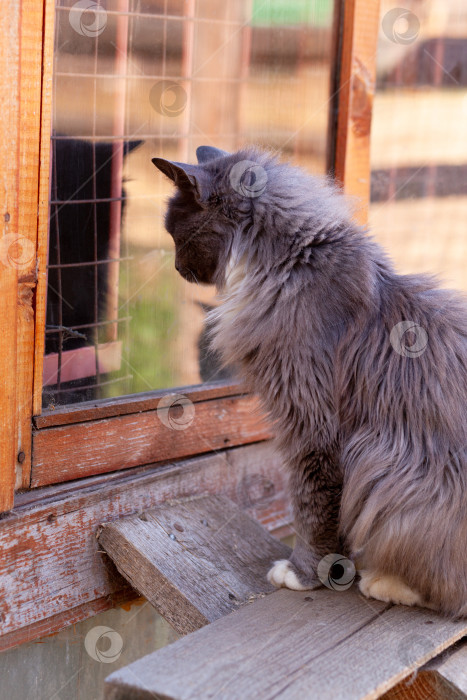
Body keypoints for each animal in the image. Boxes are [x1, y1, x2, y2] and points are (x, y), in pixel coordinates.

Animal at [154, 145, 467, 616]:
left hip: (387, 462)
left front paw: (305, 574)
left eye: (176, 234)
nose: (176, 267)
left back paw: (386, 583)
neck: (287, 265)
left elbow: (312, 504)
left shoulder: (310, 424)